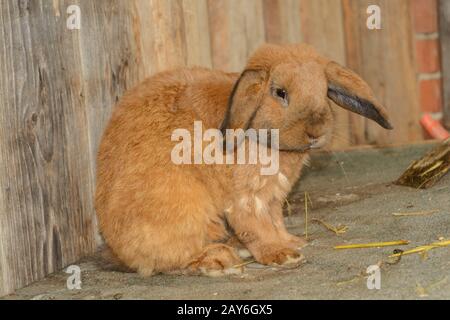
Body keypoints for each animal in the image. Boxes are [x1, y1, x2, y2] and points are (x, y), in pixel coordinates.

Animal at [96, 43, 392, 276]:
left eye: (323, 91)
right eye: (280, 92)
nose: (316, 132)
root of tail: (114, 245)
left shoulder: (273, 198)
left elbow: (275, 222)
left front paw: (292, 243)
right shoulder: (245, 199)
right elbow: (256, 228)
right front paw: (282, 255)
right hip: (185, 210)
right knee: (171, 259)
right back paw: (218, 260)